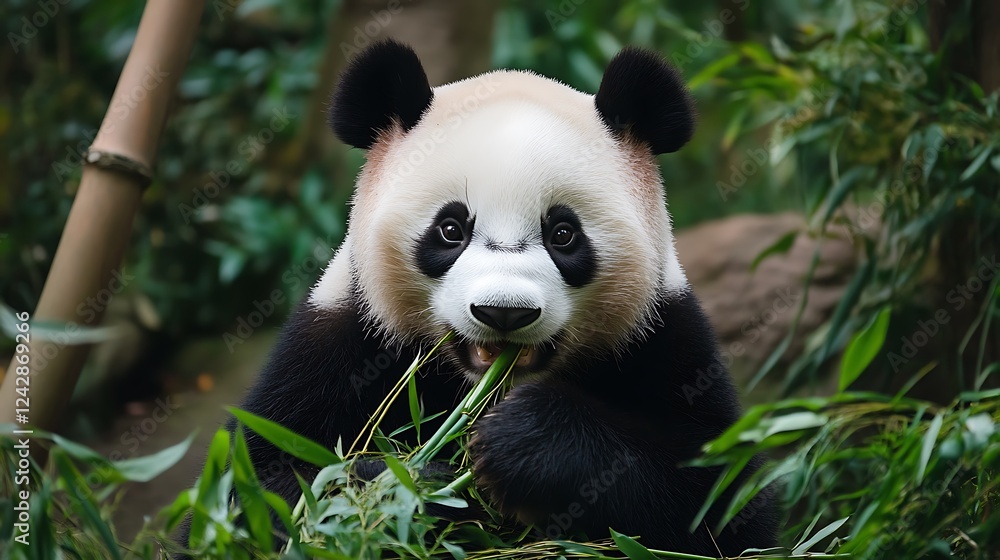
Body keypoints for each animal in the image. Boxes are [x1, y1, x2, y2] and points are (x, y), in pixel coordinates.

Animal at [229, 39, 778, 555]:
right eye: (450, 229)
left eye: (563, 234)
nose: (504, 313)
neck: (487, 388)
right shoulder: (340, 339)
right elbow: (267, 486)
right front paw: (415, 486)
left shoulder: (666, 341)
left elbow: (724, 502)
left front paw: (526, 441)